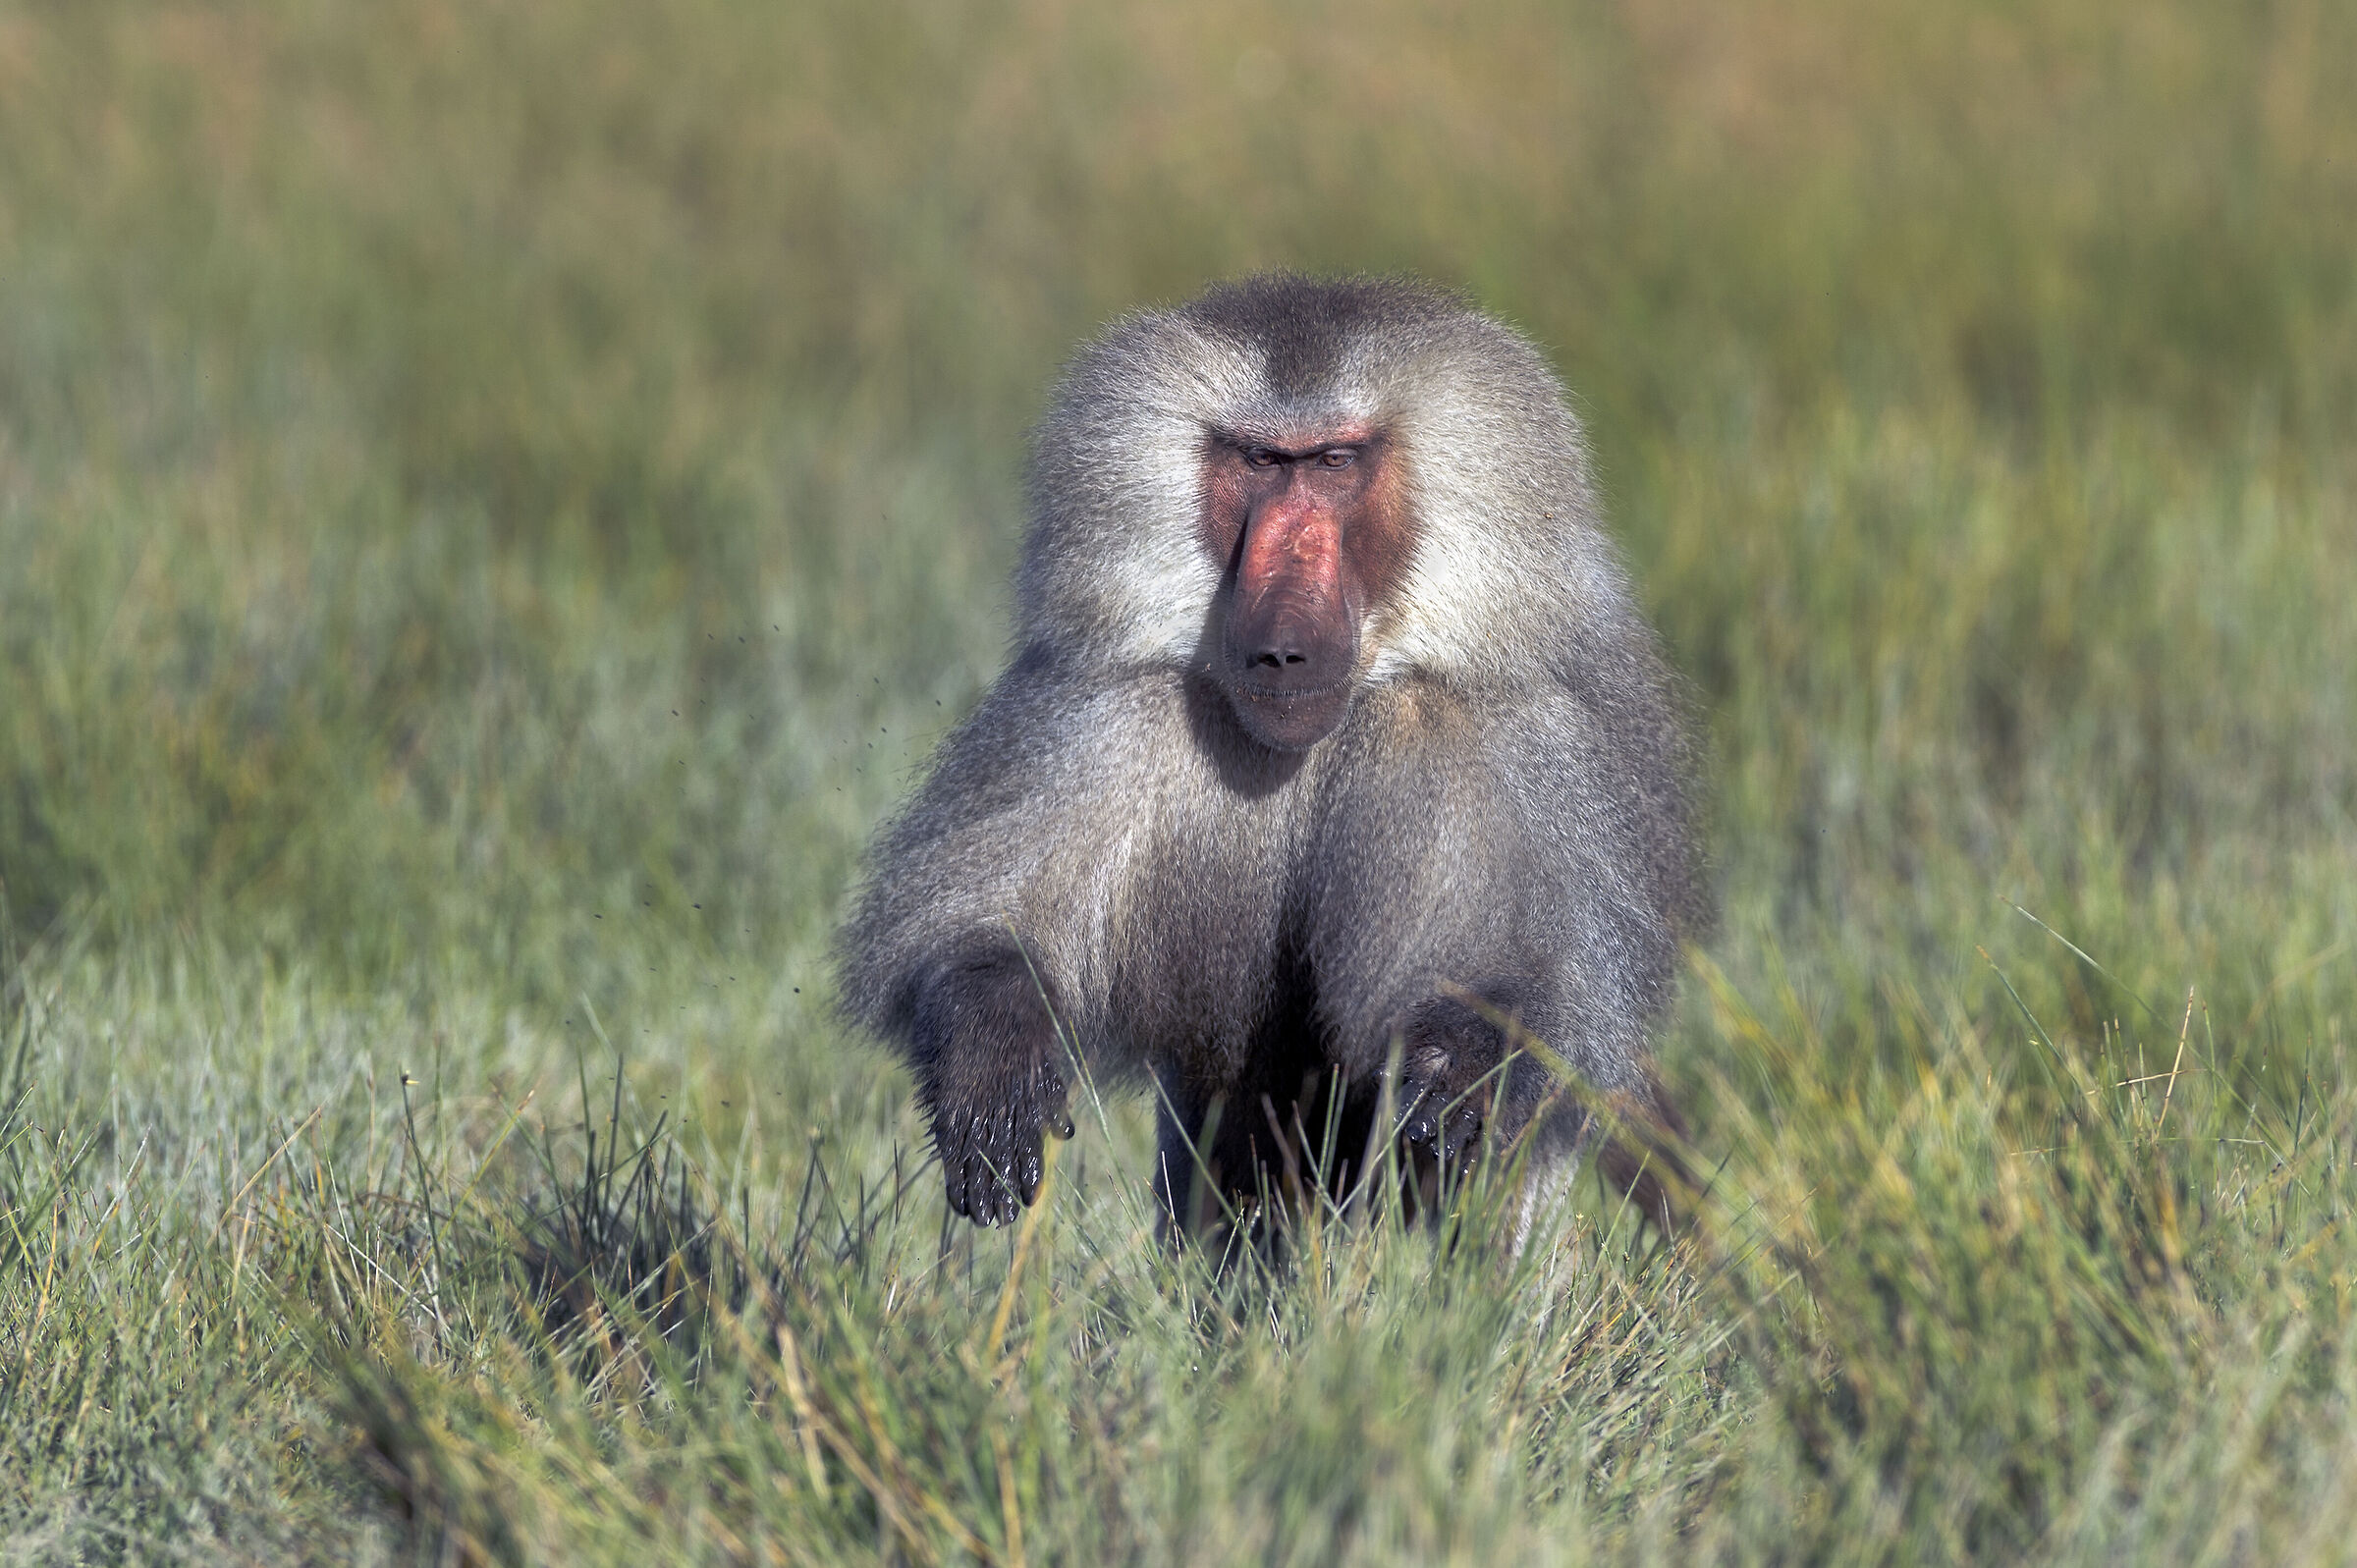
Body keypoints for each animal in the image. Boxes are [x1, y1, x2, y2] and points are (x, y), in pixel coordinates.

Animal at [837, 273, 1707, 1245]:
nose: (1283, 647)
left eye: (1332, 463)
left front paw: (1458, 1068)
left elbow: (1521, 995)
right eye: (1259, 461)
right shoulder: (1104, 710)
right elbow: (972, 931)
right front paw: (994, 1071)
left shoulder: (1488, 741)